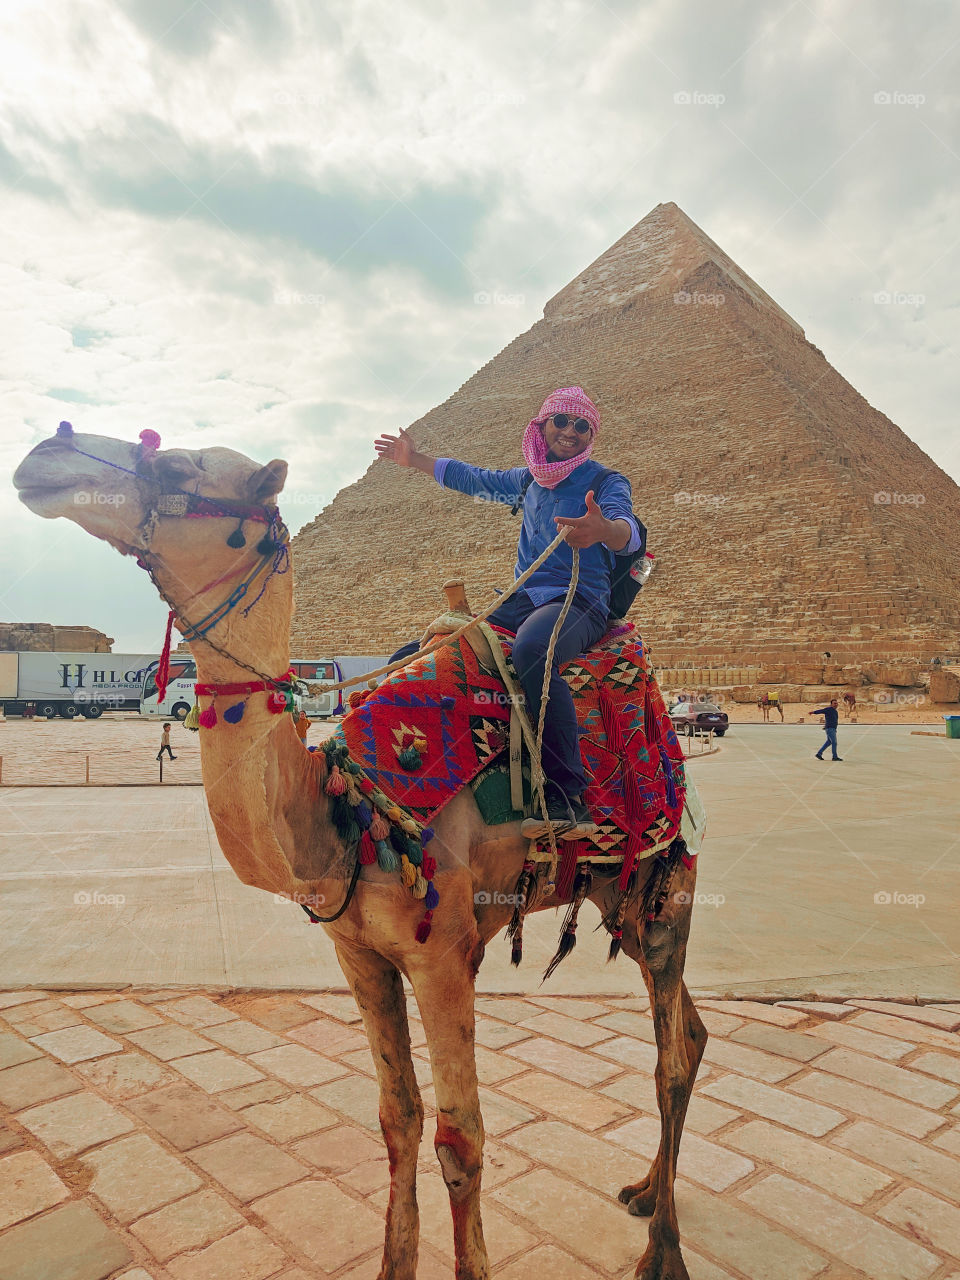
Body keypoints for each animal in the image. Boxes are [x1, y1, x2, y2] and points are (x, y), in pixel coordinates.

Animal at [13, 424, 706, 1274]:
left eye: (175, 463)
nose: (46, 451)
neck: (344, 813)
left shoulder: (444, 954)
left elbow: (460, 1138)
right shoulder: (359, 953)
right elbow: (396, 1116)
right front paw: (392, 1260)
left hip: (666, 888)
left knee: (670, 1057)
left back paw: (660, 1250)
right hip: (615, 896)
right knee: (691, 1034)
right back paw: (643, 1192)